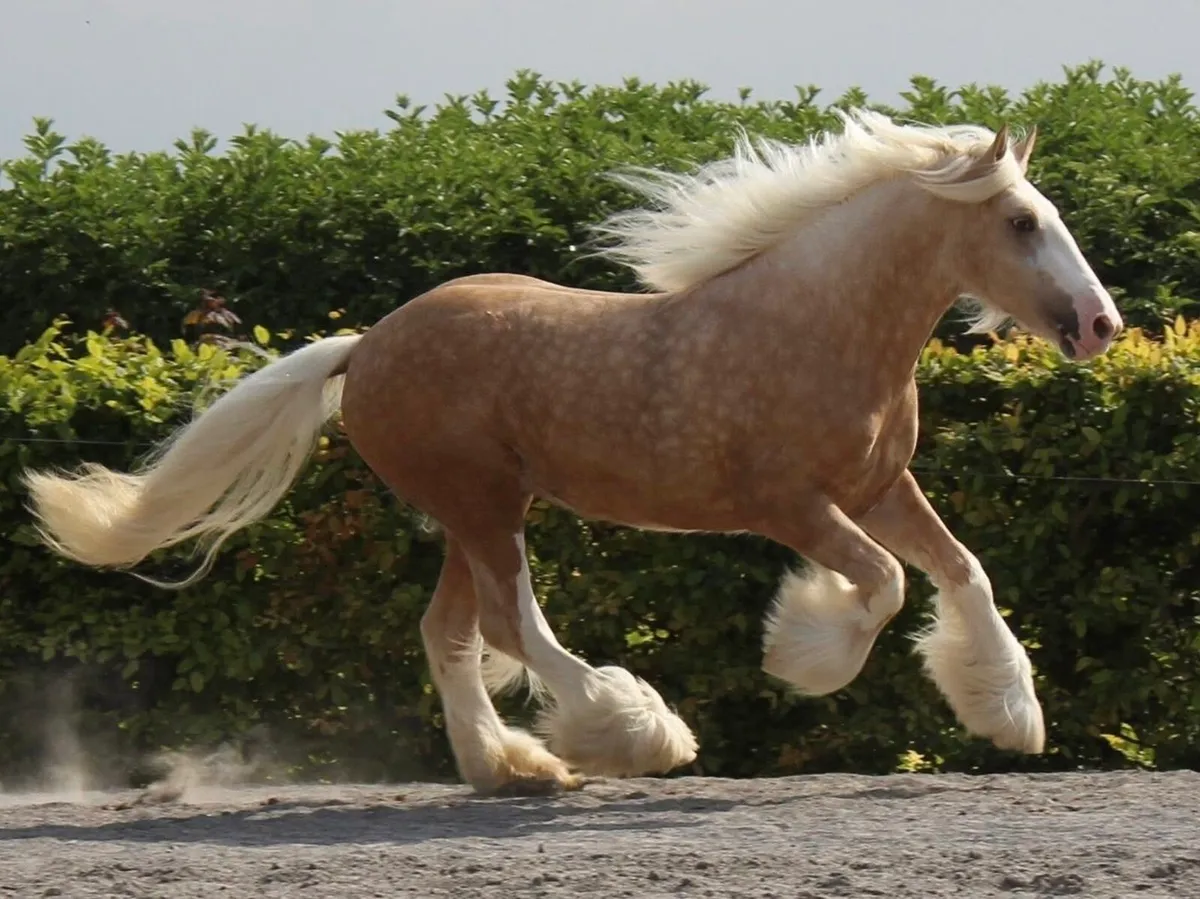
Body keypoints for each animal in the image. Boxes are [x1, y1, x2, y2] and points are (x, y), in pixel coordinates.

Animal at [22, 109, 1123, 795]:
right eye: (1022, 221)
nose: (1101, 324)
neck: (820, 325)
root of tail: (363, 346)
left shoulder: (881, 484)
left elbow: (964, 572)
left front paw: (1008, 715)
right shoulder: (790, 503)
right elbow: (886, 584)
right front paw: (801, 656)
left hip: (471, 515)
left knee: (450, 631)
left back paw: (511, 766)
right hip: (483, 505)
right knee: (512, 624)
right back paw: (635, 733)